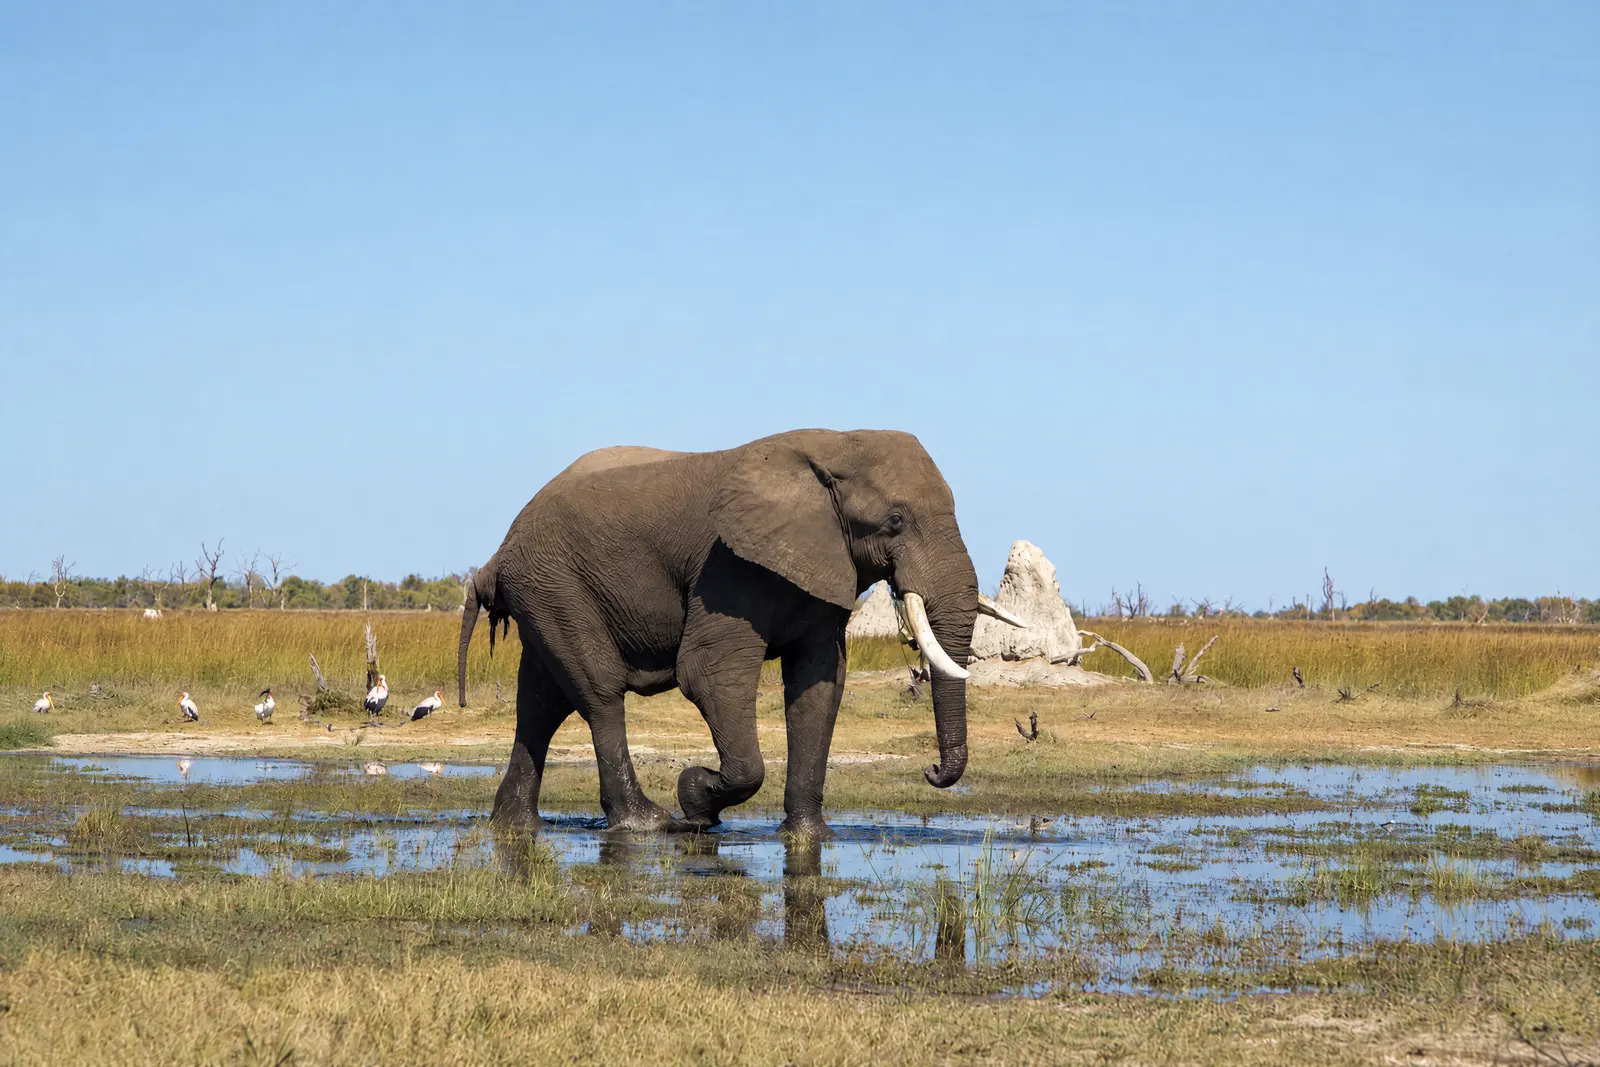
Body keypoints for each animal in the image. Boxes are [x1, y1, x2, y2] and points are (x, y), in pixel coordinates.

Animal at [457, 428, 1022, 840]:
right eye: (896, 521)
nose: (931, 770)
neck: (834, 446)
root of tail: (496, 558)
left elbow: (820, 684)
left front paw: (809, 836)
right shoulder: (728, 568)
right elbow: (708, 673)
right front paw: (695, 798)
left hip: (546, 592)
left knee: (541, 703)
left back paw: (516, 825)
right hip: (556, 584)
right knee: (597, 693)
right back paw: (647, 824)